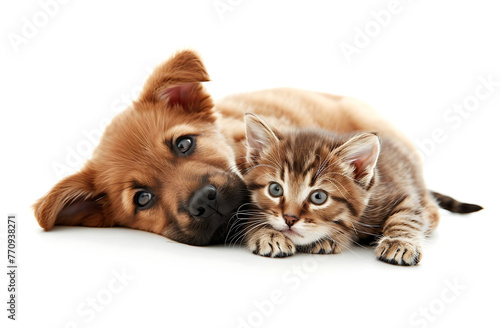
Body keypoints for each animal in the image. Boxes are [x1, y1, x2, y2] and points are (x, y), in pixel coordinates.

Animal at [240, 114, 482, 266]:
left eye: (319, 197)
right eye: (275, 189)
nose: (289, 219)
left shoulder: (399, 194)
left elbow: (406, 217)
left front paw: (399, 242)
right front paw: (267, 233)